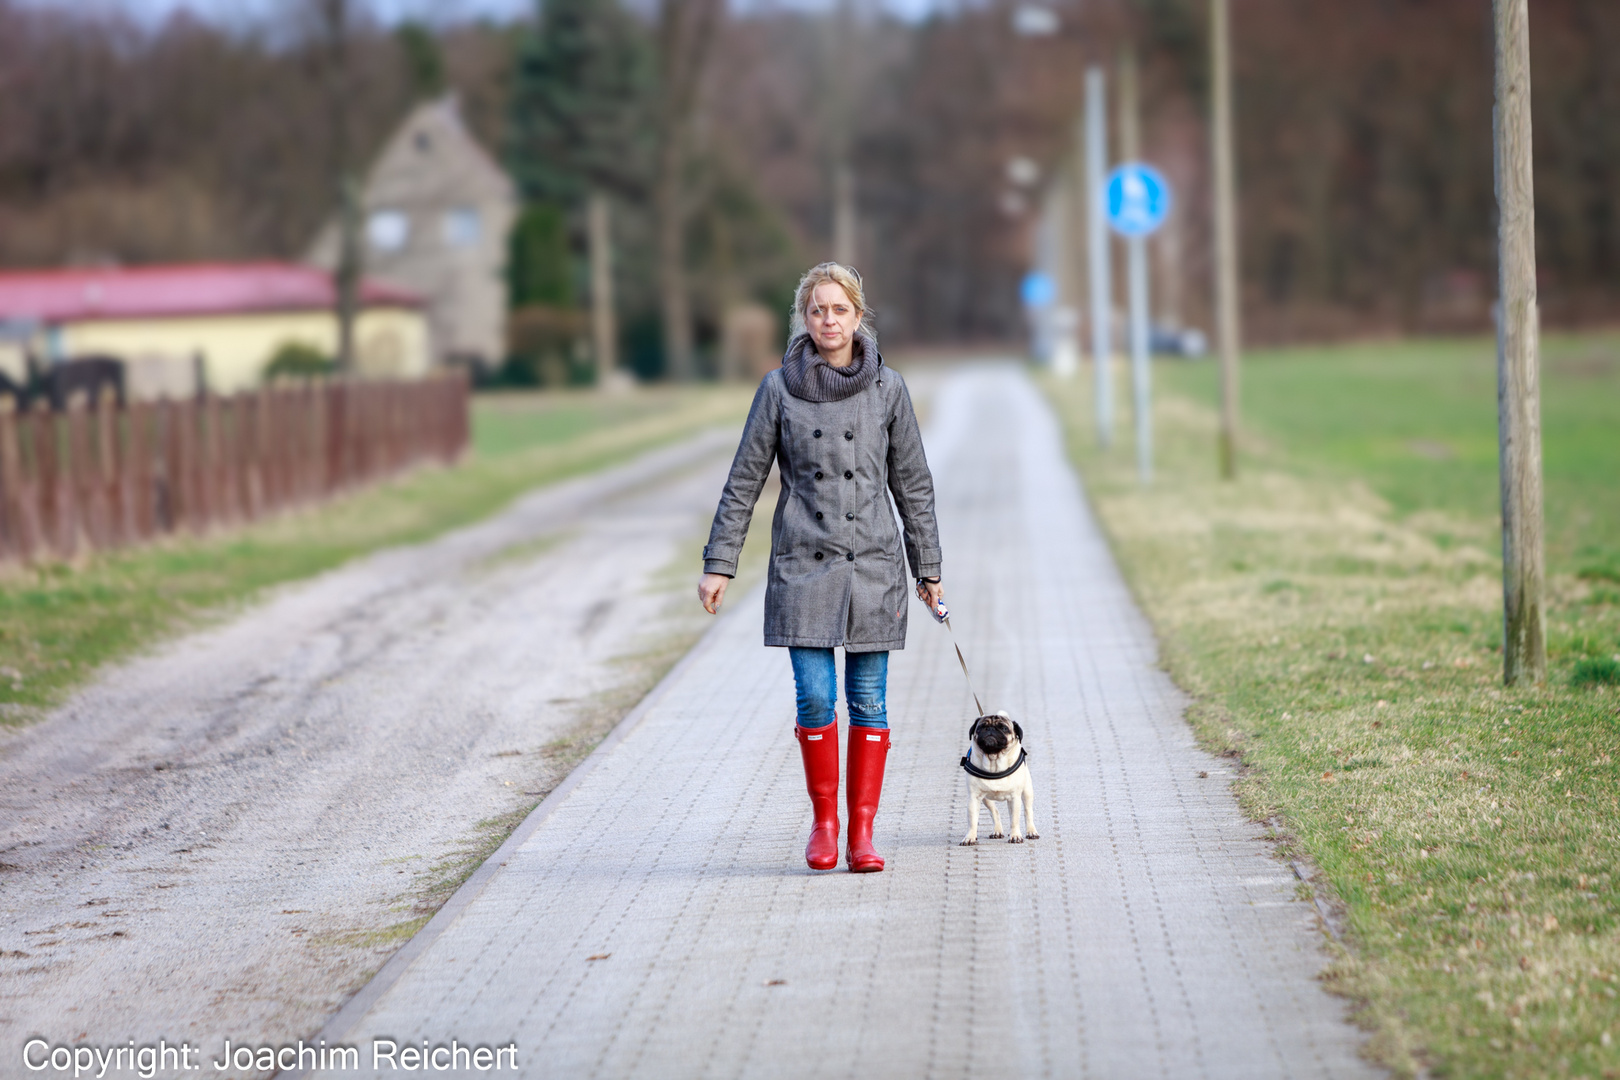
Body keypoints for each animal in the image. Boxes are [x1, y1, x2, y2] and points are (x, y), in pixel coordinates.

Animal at [952, 712, 1043, 848]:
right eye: (981, 727)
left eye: (1004, 728)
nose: (990, 729)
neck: (994, 761)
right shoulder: (974, 798)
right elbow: (972, 821)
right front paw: (970, 838)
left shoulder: (1014, 797)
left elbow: (1015, 819)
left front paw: (1015, 836)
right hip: (986, 799)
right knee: (995, 811)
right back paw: (997, 831)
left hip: (1027, 792)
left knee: (1027, 812)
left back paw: (1031, 832)